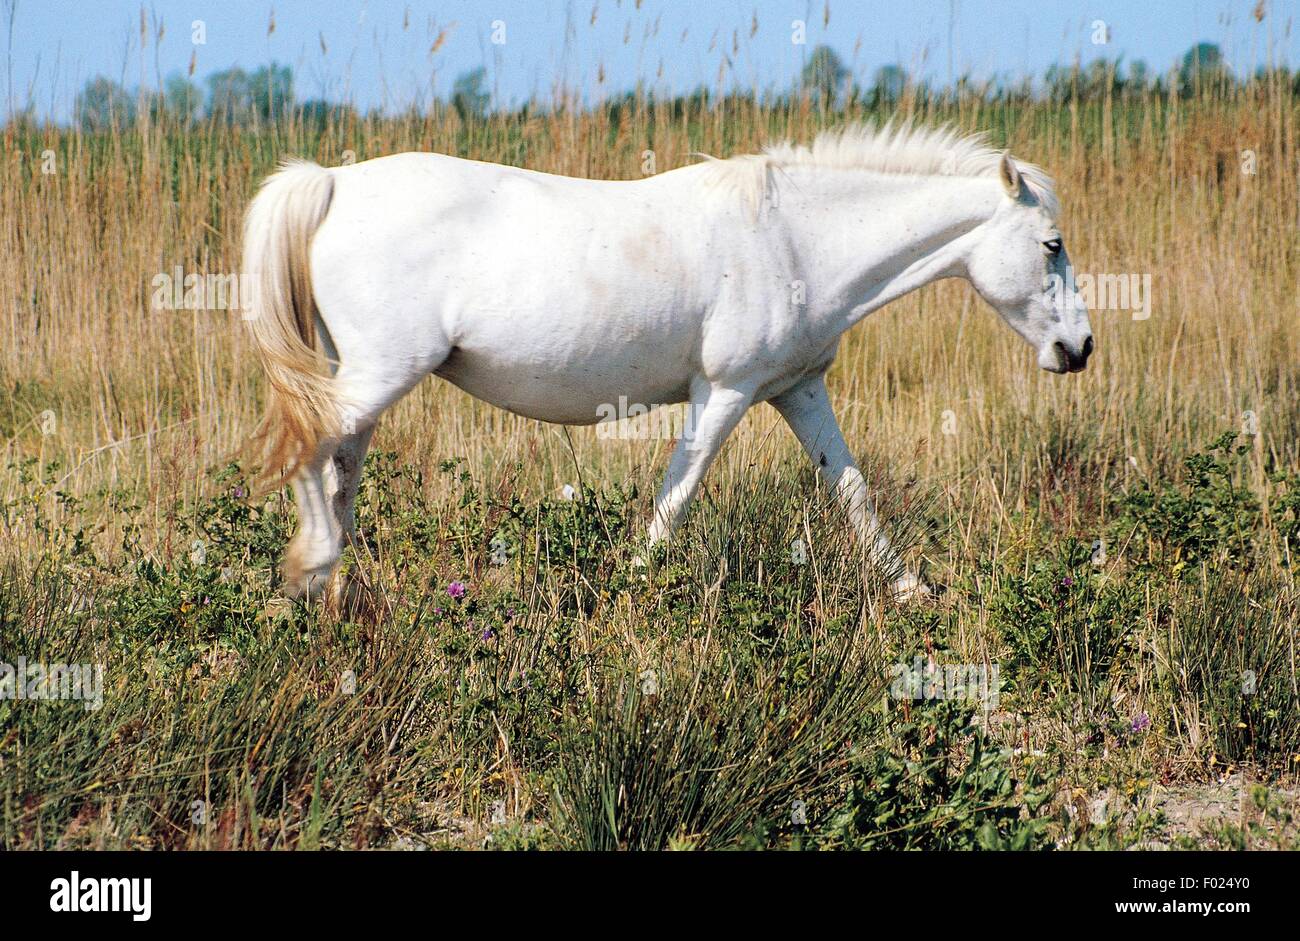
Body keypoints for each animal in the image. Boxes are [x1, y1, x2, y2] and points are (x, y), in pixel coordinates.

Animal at [241, 122, 1086, 603]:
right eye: (1051, 244)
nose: (1077, 349)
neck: (794, 238)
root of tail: (332, 182)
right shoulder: (727, 389)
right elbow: (681, 489)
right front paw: (634, 586)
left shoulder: (798, 390)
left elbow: (850, 487)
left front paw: (909, 588)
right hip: (380, 374)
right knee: (315, 450)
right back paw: (311, 574)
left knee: (340, 465)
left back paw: (341, 591)